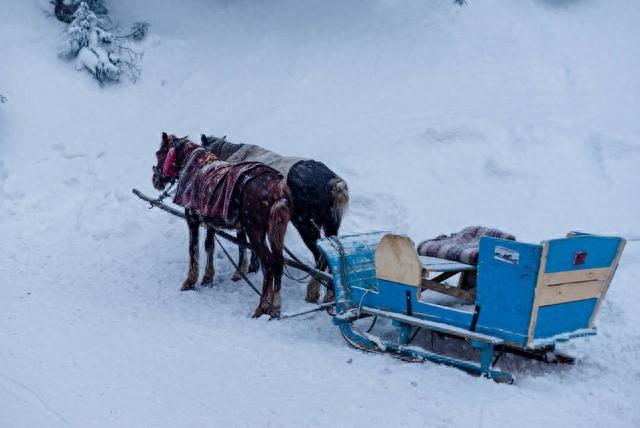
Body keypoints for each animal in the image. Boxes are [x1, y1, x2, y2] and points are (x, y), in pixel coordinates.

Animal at [151, 134, 292, 318]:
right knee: (279, 263)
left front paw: (189, 282)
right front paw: (208, 278)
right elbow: (209, 246)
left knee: (268, 265)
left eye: (159, 153)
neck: (191, 165)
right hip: (276, 231)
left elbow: (193, 250)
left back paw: (262, 307)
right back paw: (275, 308)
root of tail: (276, 186)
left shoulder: (192, 218)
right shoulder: (209, 221)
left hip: (255, 233)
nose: (155, 180)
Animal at [201, 134, 348, 304]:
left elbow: (242, 245)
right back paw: (330, 293)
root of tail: (334, 183)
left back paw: (312, 291)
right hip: (330, 225)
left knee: (320, 256)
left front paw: (241, 272)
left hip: (305, 226)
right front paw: (253, 267)